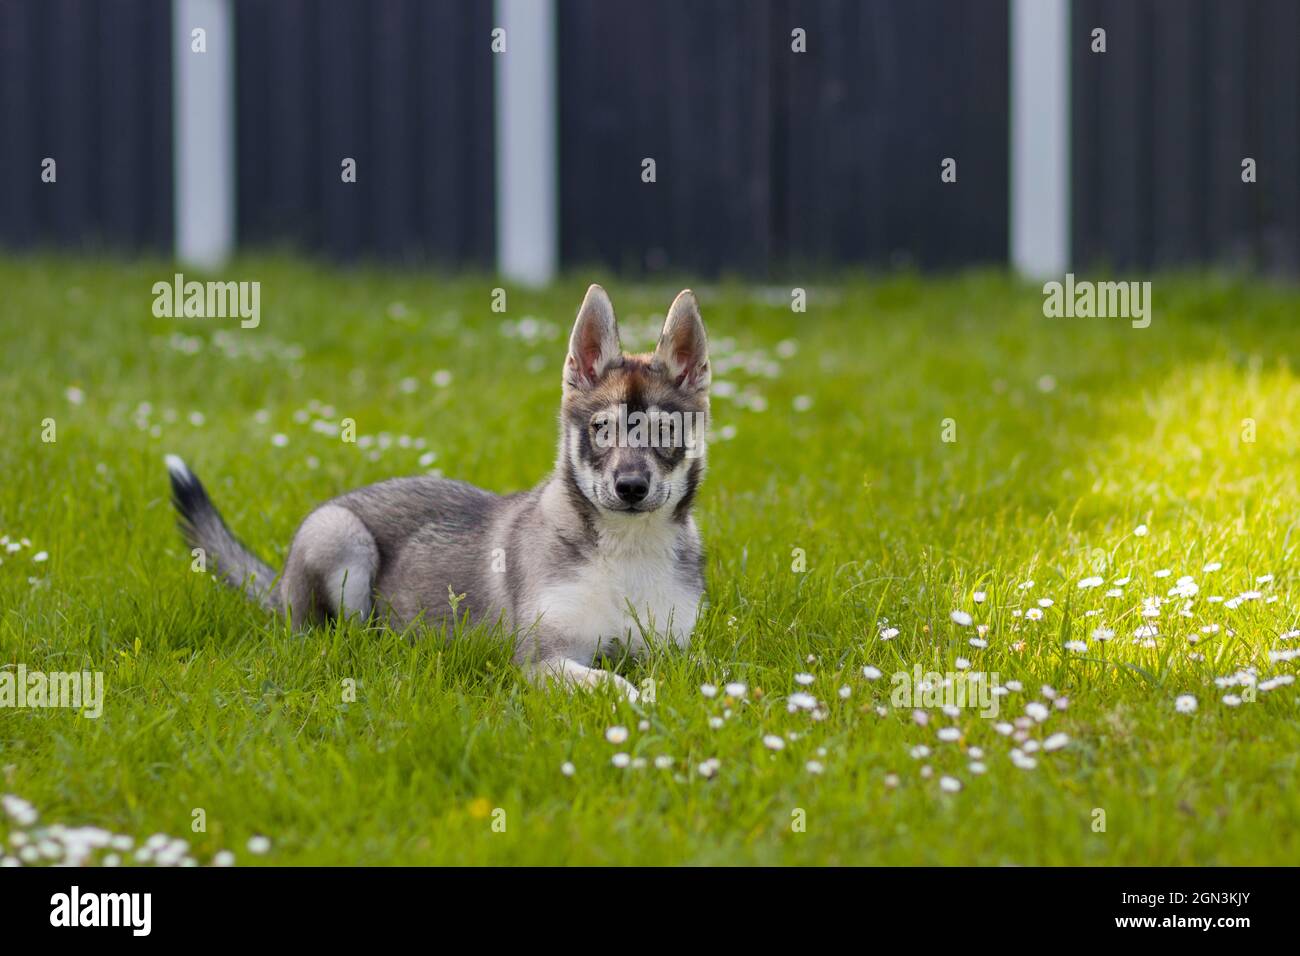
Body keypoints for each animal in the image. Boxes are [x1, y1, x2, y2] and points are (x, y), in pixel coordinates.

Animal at [167, 286, 712, 702]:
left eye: (665, 431)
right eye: (601, 428)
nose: (631, 488)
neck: (626, 548)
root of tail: (278, 586)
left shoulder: (672, 648)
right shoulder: (541, 657)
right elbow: (609, 681)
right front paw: (638, 701)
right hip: (339, 539)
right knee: (336, 634)